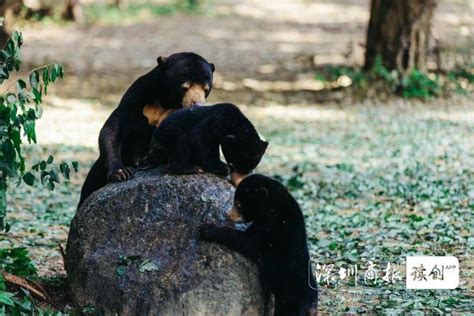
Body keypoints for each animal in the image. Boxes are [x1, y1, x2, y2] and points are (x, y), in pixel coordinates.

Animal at [78, 52, 216, 207]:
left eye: (206, 89)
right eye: (185, 87)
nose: (197, 104)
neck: (165, 102)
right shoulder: (136, 97)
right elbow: (112, 128)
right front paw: (121, 173)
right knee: (91, 184)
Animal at [200, 174, 318, 314]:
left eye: (238, 204)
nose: (227, 214)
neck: (272, 207)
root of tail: (312, 303)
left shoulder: (271, 227)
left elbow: (248, 242)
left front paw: (207, 229)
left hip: (290, 297)